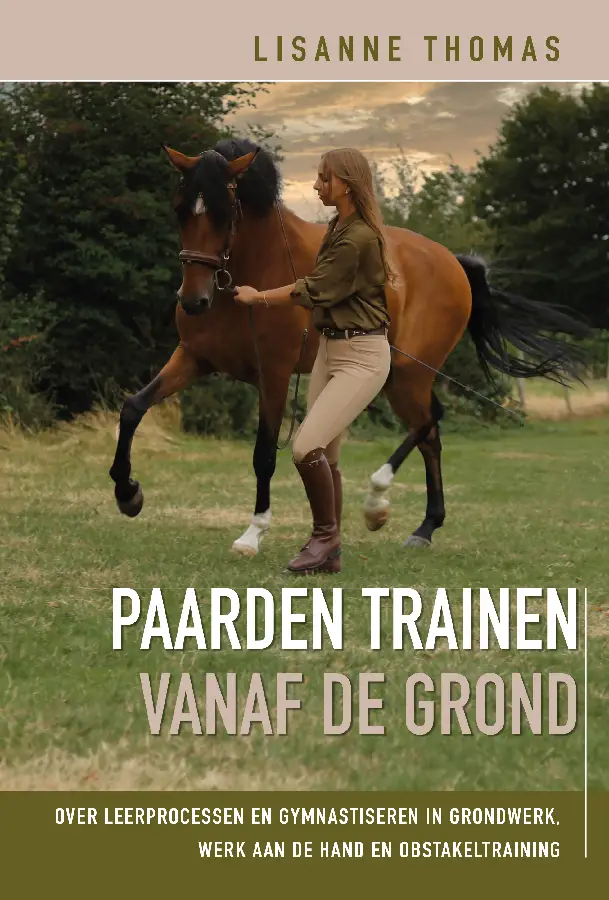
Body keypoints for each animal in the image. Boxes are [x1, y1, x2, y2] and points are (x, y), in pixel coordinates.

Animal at [108, 137, 588, 556]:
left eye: (227, 215)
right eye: (179, 210)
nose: (193, 301)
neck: (253, 270)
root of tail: (453, 262)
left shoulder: (274, 376)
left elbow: (264, 454)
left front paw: (253, 533)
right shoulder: (194, 358)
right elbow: (133, 408)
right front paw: (128, 493)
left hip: (409, 374)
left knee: (429, 422)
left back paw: (378, 503)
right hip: (401, 378)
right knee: (431, 434)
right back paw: (424, 527)